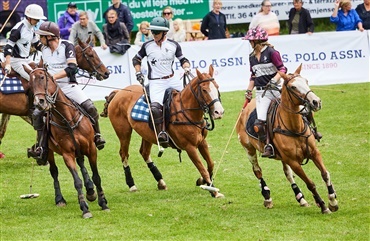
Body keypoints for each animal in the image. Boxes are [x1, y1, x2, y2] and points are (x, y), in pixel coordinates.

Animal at [24, 67, 108, 219]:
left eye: (42, 78)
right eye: (30, 84)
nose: (39, 103)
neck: (68, 119)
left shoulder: (91, 149)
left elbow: (96, 176)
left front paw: (103, 203)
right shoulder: (67, 154)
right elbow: (77, 181)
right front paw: (85, 209)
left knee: (81, 162)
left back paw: (90, 190)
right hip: (49, 152)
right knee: (54, 172)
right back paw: (60, 199)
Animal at [103, 64, 225, 198]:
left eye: (217, 87)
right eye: (204, 90)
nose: (219, 112)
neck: (187, 112)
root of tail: (119, 92)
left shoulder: (202, 142)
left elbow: (210, 164)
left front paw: (202, 181)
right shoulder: (190, 147)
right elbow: (202, 168)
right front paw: (213, 191)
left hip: (147, 133)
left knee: (144, 152)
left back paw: (161, 182)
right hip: (124, 132)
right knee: (124, 154)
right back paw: (132, 185)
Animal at [237, 63, 338, 213]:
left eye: (306, 81)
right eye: (293, 87)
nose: (316, 102)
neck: (294, 128)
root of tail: (245, 108)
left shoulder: (314, 153)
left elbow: (325, 174)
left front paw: (332, 201)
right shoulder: (293, 161)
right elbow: (310, 183)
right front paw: (324, 206)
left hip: (281, 156)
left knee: (287, 174)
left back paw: (301, 198)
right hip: (249, 149)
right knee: (257, 171)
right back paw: (267, 198)